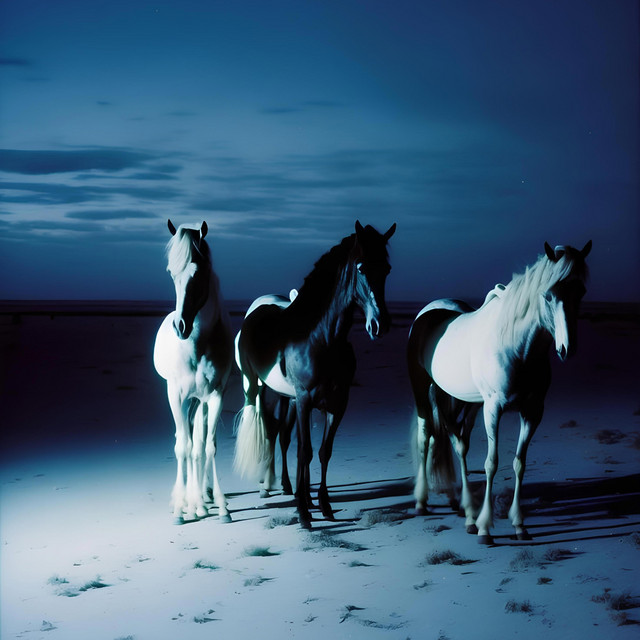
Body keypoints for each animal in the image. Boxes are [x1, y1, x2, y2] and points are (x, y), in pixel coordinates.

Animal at [153, 220, 233, 524]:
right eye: (171, 272)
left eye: (198, 273)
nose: (180, 326)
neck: (197, 346)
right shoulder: (176, 397)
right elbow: (182, 448)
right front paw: (180, 508)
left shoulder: (215, 397)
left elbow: (206, 447)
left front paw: (218, 505)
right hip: (187, 402)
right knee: (185, 442)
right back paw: (187, 500)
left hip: (200, 402)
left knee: (197, 445)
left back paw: (200, 500)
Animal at [234, 220, 396, 528]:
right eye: (360, 267)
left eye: (387, 269)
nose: (379, 325)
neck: (321, 338)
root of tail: (254, 313)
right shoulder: (305, 399)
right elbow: (305, 451)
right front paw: (304, 513)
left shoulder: (336, 403)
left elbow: (322, 452)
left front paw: (322, 504)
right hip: (257, 389)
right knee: (270, 432)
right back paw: (273, 488)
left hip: (287, 399)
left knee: (284, 437)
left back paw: (297, 491)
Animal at [407, 241, 591, 544]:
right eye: (548, 294)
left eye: (581, 292)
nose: (567, 348)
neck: (516, 346)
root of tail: (431, 309)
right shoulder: (493, 409)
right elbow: (491, 463)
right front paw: (485, 528)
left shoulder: (532, 412)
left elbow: (519, 463)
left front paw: (518, 525)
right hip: (423, 391)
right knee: (426, 437)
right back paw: (423, 502)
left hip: (462, 401)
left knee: (457, 442)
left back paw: (465, 509)